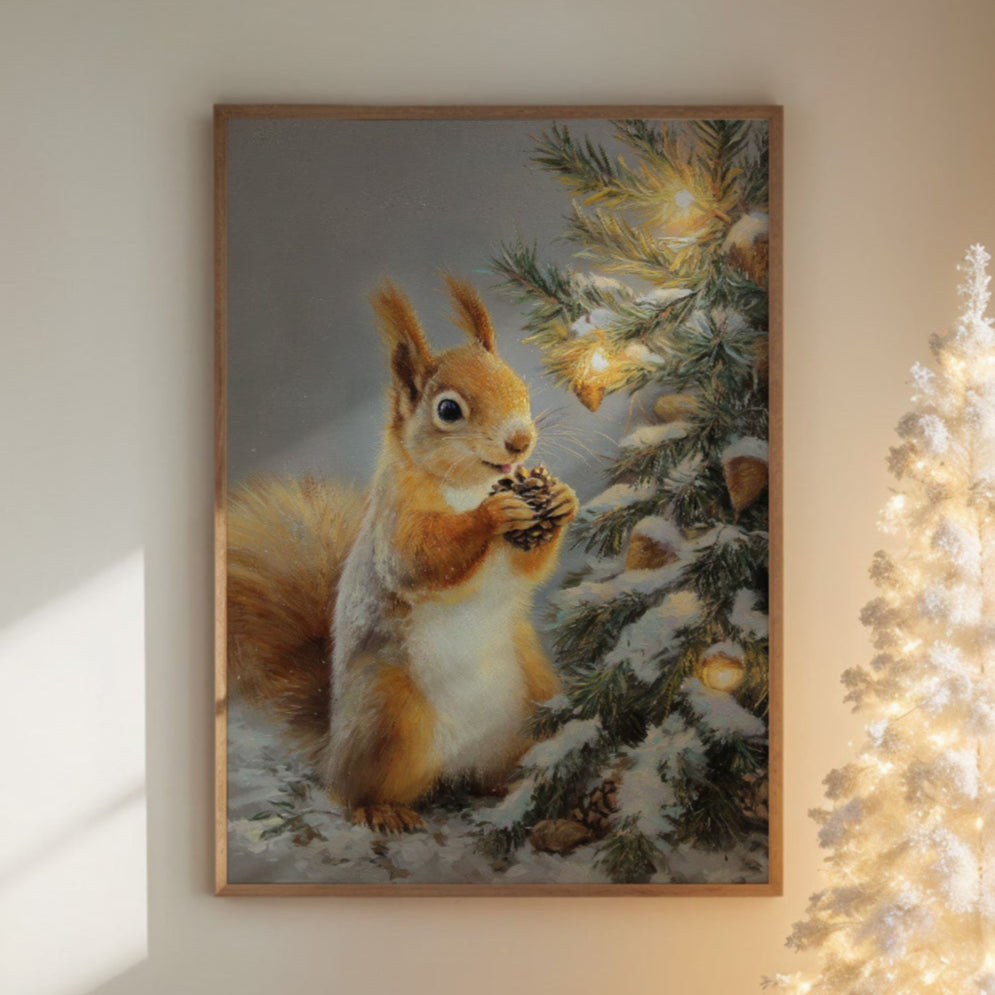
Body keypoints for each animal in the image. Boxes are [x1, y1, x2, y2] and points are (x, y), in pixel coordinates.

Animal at [227, 277, 579, 833]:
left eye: (519, 385)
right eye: (449, 410)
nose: (520, 441)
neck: (468, 486)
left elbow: (528, 567)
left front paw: (561, 499)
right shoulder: (394, 523)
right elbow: (420, 558)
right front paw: (493, 514)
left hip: (536, 696)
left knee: (500, 772)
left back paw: (526, 791)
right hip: (390, 715)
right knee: (352, 792)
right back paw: (382, 809)